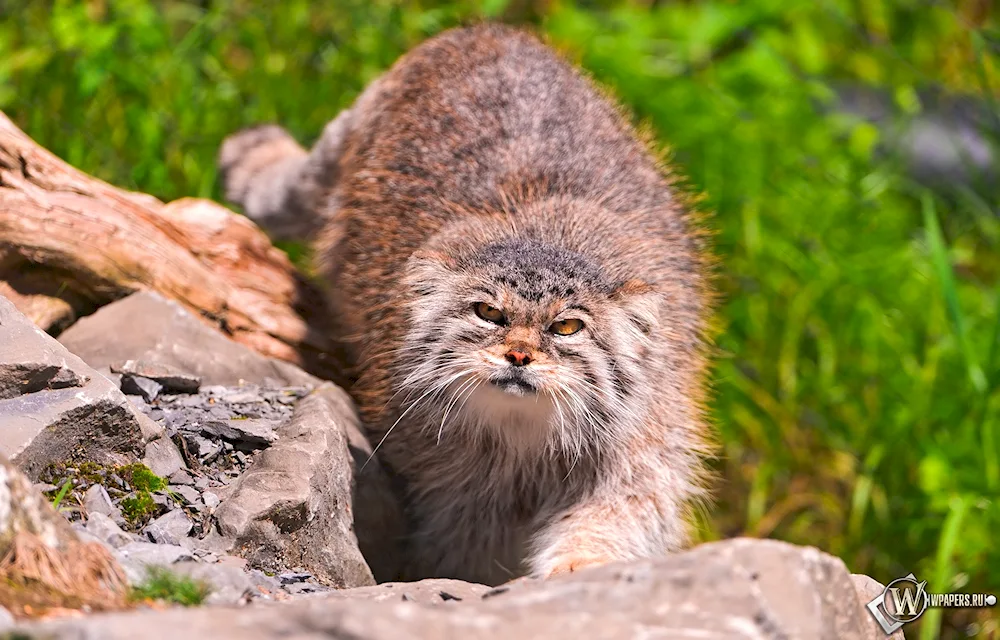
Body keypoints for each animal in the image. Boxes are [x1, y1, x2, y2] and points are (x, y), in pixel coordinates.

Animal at [223, 23, 716, 584]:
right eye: (489, 314)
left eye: (567, 327)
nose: (518, 355)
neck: (526, 439)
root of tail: (484, 29)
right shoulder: (452, 486)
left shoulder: (641, 438)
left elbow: (621, 508)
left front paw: (583, 561)